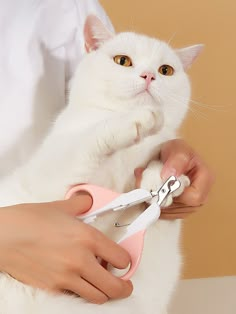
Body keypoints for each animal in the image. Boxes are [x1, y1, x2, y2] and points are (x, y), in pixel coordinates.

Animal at [0, 15, 203, 314]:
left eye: (166, 70)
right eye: (123, 61)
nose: (149, 76)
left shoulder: (153, 270)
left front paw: (164, 177)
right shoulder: (49, 184)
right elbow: (90, 138)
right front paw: (138, 120)